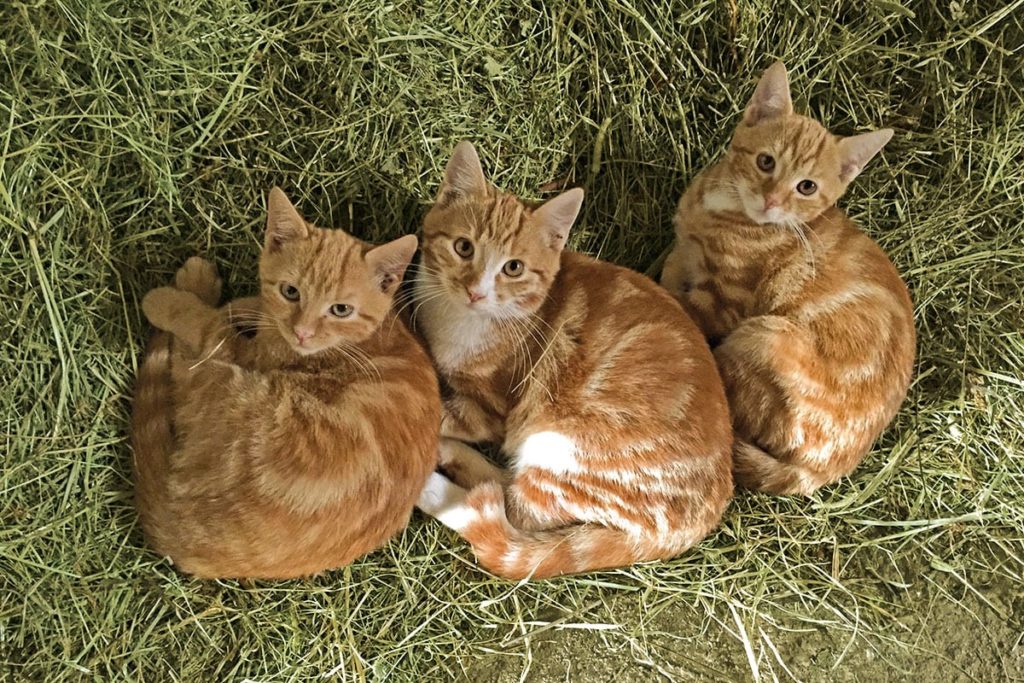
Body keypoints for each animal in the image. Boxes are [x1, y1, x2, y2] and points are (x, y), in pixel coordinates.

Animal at [130, 188, 438, 581]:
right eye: (291, 291)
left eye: (340, 309)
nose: (302, 332)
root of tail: (181, 533)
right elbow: (247, 311)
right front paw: (244, 305)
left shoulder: (247, 354)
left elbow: (207, 325)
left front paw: (174, 302)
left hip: (236, 393)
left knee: (188, 367)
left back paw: (194, 285)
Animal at [411, 141, 733, 581]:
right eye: (463, 247)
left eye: (513, 268)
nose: (476, 291)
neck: (460, 321)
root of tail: (707, 513)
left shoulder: (491, 409)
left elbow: (443, 412)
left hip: (560, 452)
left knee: (510, 511)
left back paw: (433, 479)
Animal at [659, 62, 917, 497]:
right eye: (766, 162)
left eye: (806, 187)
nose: (772, 201)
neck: (722, 209)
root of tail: (824, 470)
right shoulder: (683, 252)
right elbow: (666, 275)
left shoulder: (723, 303)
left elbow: (672, 303)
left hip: (762, 336)